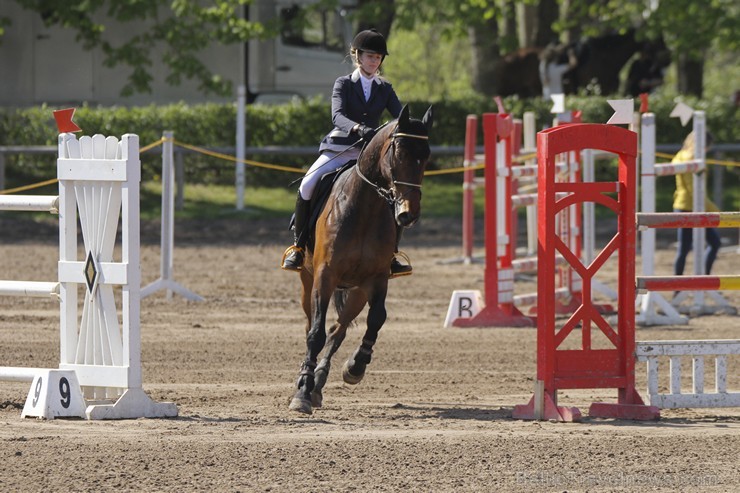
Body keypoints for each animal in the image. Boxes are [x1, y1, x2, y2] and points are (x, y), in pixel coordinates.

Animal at [286, 105, 430, 414]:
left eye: (426, 156)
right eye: (399, 153)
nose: (408, 213)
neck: (365, 206)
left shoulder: (376, 279)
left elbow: (376, 319)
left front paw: (355, 366)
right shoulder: (325, 276)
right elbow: (315, 333)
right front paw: (301, 394)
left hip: (357, 291)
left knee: (338, 330)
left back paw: (319, 383)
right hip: (308, 281)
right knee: (311, 326)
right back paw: (306, 382)